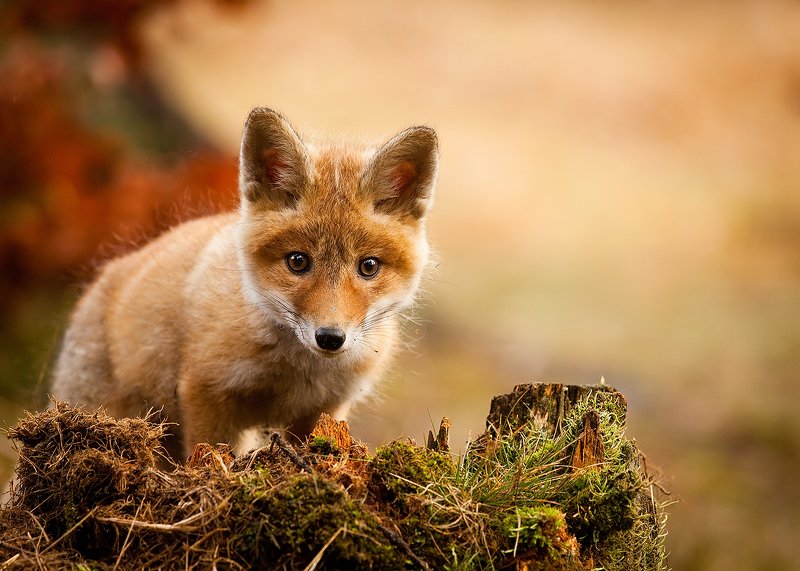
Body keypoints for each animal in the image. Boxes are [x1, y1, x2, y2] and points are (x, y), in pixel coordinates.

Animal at [50, 107, 439, 461]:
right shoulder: (206, 393)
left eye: (368, 267)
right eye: (298, 262)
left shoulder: (324, 410)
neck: (296, 374)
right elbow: (207, 457)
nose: (330, 338)